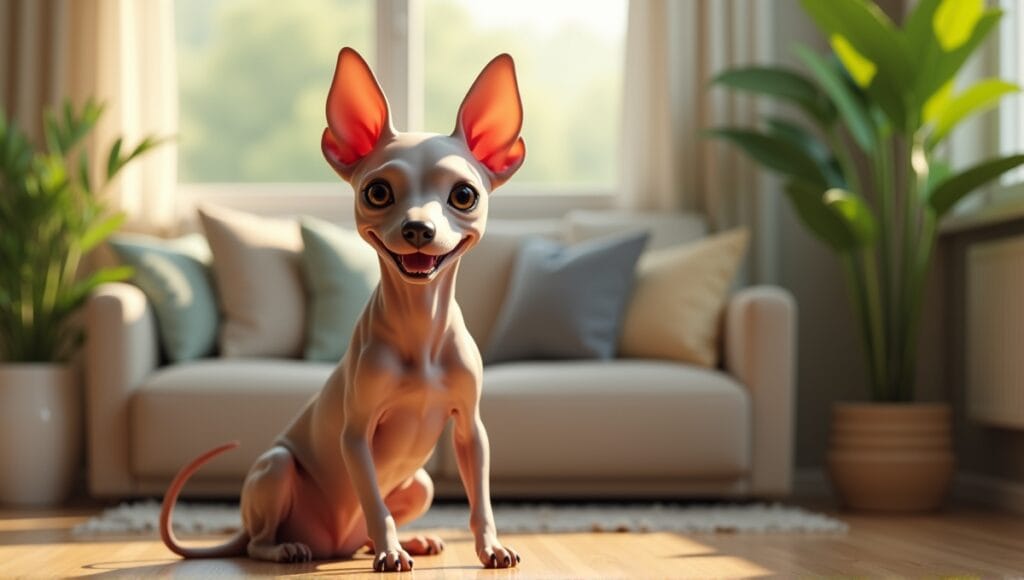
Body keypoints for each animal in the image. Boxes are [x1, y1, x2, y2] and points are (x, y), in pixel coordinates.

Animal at [161, 47, 528, 573]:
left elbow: (480, 500)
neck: (421, 327)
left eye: (463, 195)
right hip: (277, 468)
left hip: (420, 484)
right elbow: (375, 502)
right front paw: (392, 553)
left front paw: (489, 548)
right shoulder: (355, 437)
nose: (418, 229)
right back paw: (293, 548)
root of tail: (332, 544)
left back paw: (407, 541)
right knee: (258, 541)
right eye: (377, 192)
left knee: (367, 532)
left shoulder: (470, 431)